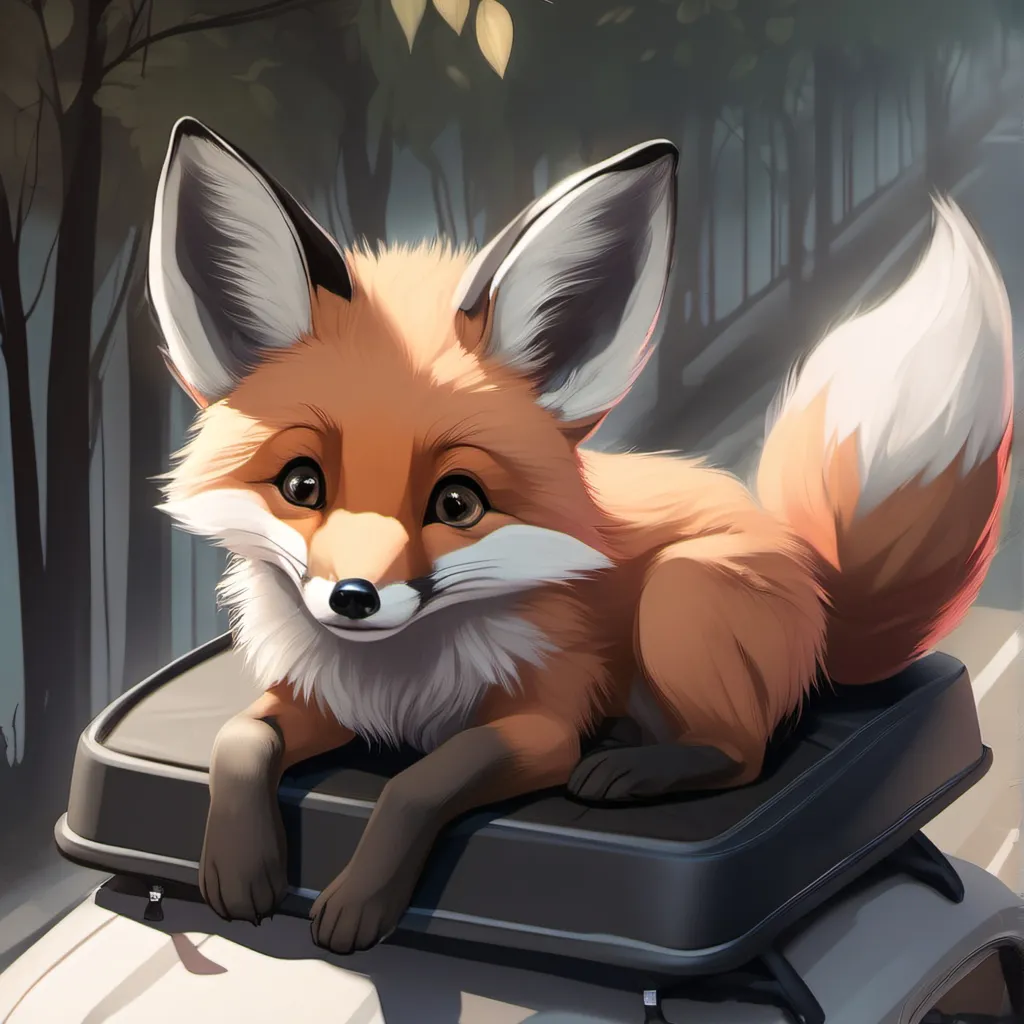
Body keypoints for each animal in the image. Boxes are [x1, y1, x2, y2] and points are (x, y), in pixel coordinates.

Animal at [149, 116, 1013, 956]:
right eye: (303, 486)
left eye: (457, 502)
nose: (354, 599)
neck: (401, 682)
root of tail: (812, 577)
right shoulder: (323, 701)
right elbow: (240, 737)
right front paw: (239, 864)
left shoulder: (542, 728)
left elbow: (420, 781)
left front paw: (360, 900)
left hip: (682, 593)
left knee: (742, 752)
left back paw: (635, 768)